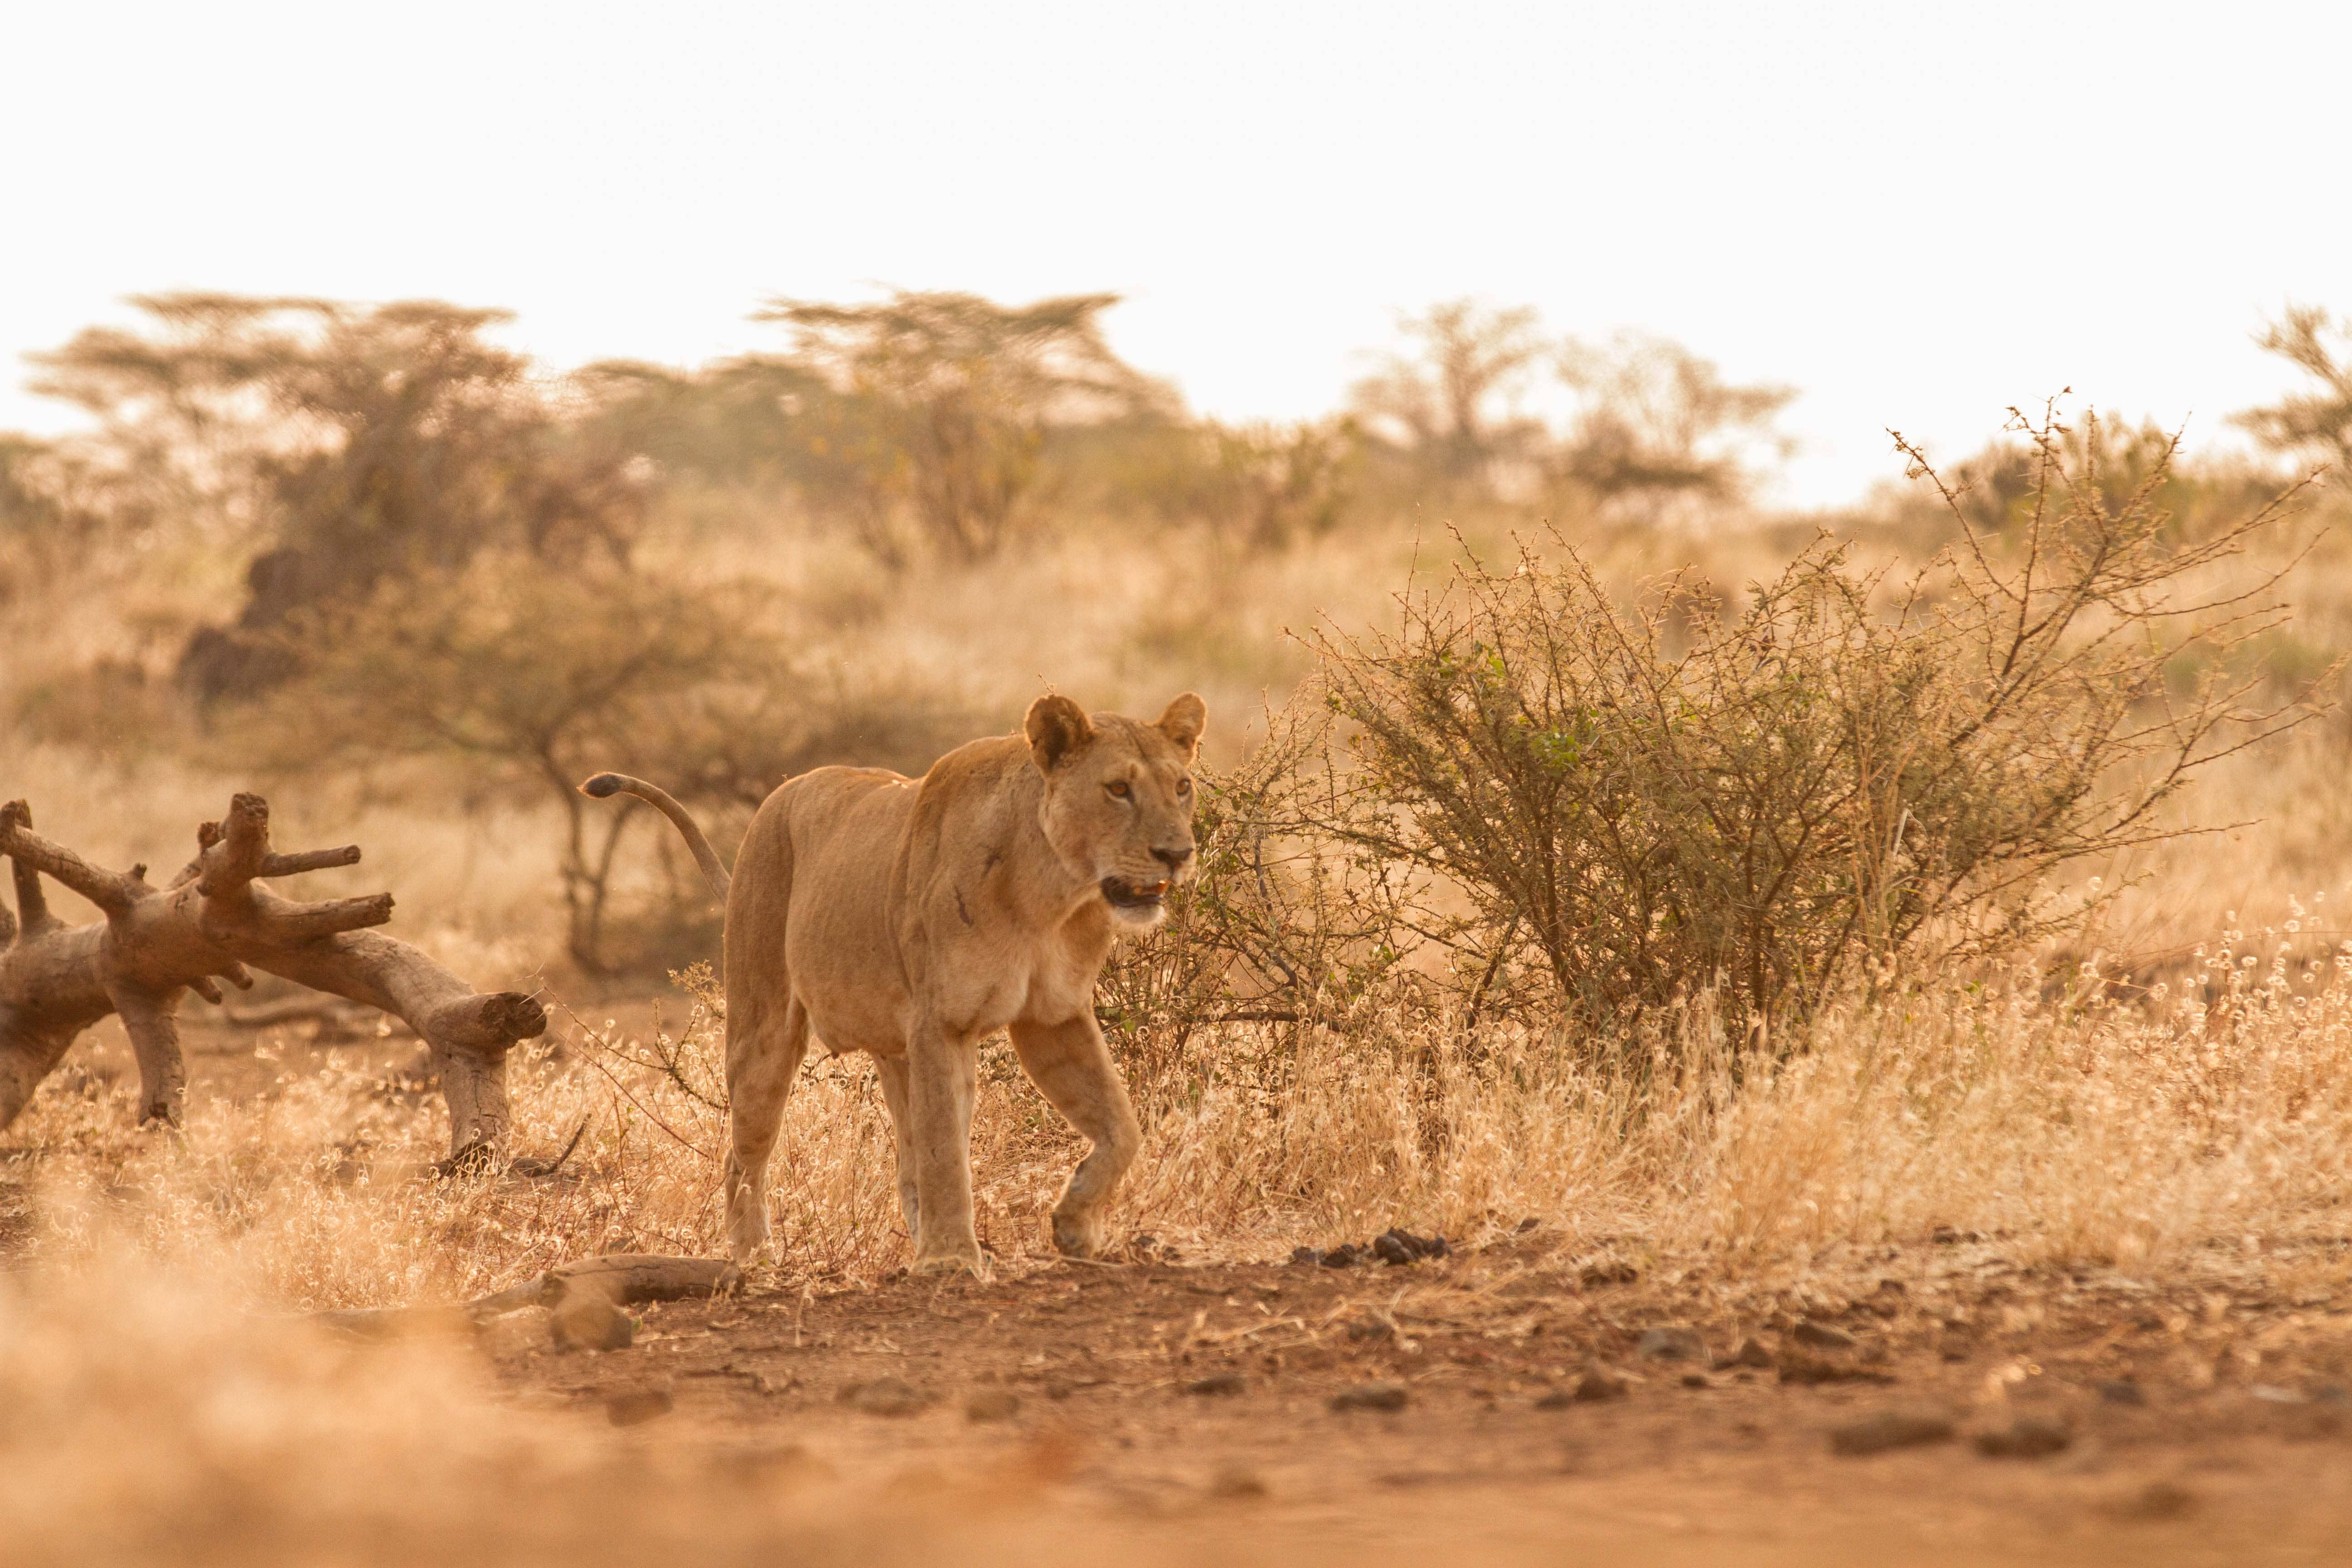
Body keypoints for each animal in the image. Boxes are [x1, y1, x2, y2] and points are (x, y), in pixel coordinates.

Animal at [580, 691, 1205, 1274]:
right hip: (764, 1027)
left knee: (908, 1156)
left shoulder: (1053, 1016)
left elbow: (1122, 1126)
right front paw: (951, 1260)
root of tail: (776, 797)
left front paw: (1074, 1226)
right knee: (744, 1155)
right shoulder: (940, 1022)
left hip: (898, 1049)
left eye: (1182, 787)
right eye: (1118, 789)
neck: (1051, 894)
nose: (1177, 854)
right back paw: (754, 1257)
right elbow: (946, 1153)